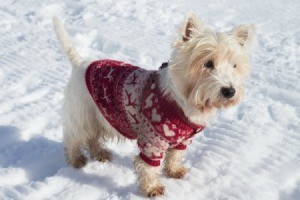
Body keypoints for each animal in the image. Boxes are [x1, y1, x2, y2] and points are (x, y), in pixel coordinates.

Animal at [52, 13, 254, 198]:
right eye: (208, 63)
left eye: (234, 65)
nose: (229, 91)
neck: (185, 101)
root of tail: (80, 64)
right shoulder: (152, 141)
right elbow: (149, 168)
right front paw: (152, 189)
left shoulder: (182, 141)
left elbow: (175, 156)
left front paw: (174, 171)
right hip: (82, 114)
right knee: (73, 138)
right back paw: (77, 160)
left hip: (99, 116)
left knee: (93, 138)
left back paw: (100, 153)